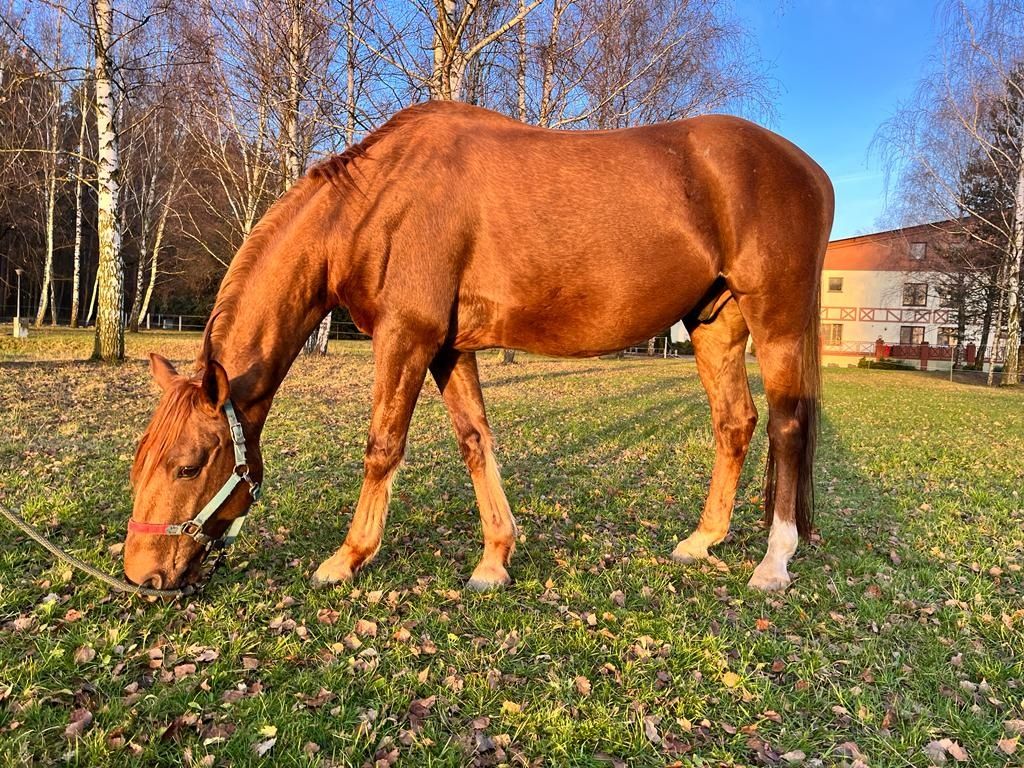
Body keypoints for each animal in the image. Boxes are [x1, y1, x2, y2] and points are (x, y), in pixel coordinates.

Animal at [123, 100, 835, 593]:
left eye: (189, 465)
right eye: (139, 463)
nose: (139, 574)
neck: (380, 200)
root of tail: (811, 170)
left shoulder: (406, 338)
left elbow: (383, 447)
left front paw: (346, 558)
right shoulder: (447, 348)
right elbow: (476, 442)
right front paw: (494, 559)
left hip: (776, 321)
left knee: (789, 426)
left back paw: (773, 563)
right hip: (715, 326)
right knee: (735, 423)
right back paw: (700, 541)